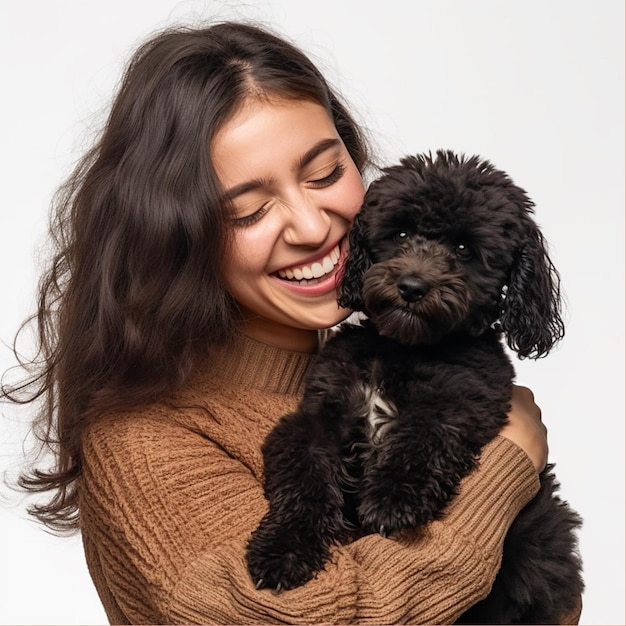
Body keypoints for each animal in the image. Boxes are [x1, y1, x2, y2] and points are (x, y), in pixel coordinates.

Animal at [244, 150, 580, 620]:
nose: (412, 286)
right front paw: (282, 550)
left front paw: (393, 497)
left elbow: (426, 430)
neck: (402, 349)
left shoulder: (465, 399)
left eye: (464, 248)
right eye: (400, 232)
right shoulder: (317, 416)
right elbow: (302, 477)